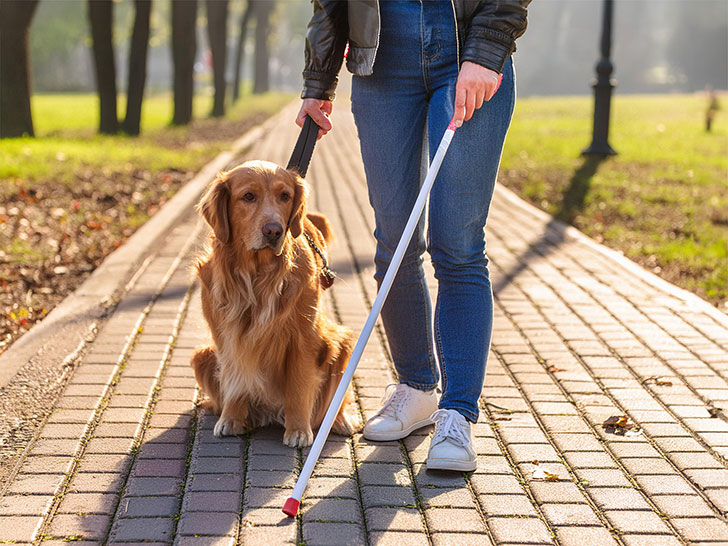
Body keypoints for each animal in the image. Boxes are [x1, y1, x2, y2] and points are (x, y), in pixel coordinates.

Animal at [189, 159, 356, 444]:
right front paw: (231, 419)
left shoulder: (304, 337)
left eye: (285, 196)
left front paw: (298, 430)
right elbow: (234, 377)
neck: (257, 273)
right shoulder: (226, 335)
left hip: (341, 341)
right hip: (203, 355)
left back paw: (340, 420)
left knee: (335, 401)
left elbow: (299, 386)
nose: (274, 231)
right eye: (248, 196)